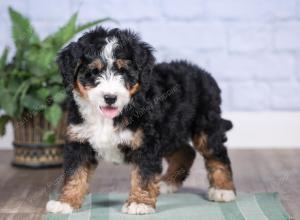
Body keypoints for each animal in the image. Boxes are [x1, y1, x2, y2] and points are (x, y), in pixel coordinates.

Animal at [45, 27, 236, 215]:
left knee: (217, 155)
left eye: (123, 71)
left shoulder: (146, 143)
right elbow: (74, 173)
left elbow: (143, 175)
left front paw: (139, 203)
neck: (107, 118)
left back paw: (223, 189)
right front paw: (66, 202)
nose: (110, 98)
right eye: (94, 72)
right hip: (170, 131)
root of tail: (202, 72)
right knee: (186, 152)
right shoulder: (79, 140)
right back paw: (168, 183)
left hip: (206, 126)